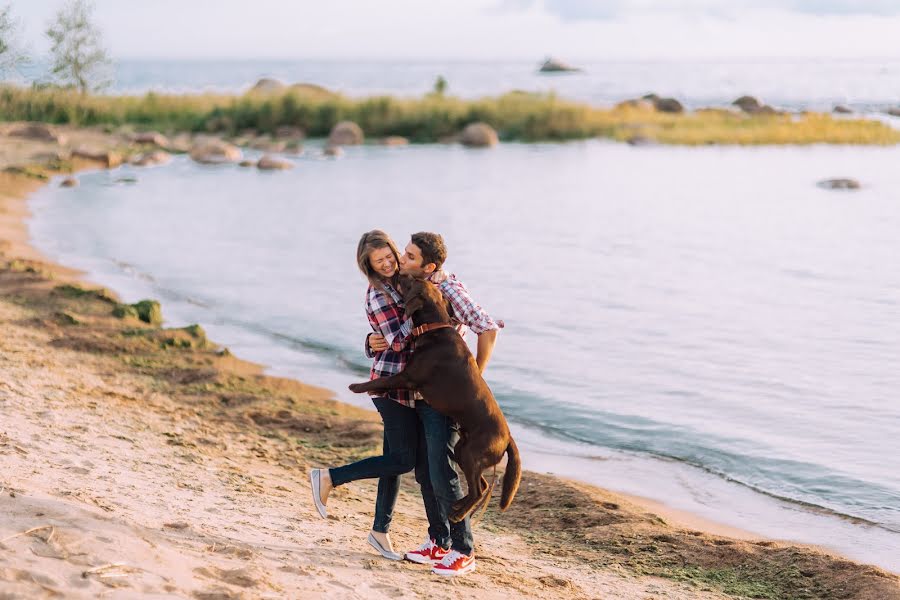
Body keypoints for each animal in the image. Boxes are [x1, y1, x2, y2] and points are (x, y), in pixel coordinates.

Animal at [350, 276, 520, 520]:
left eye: (409, 281)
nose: (399, 272)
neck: (434, 325)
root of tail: (508, 439)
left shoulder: (407, 377)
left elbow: (380, 381)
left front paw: (357, 386)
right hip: (462, 451)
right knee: (483, 485)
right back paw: (458, 507)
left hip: (471, 454)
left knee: (478, 490)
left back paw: (458, 513)